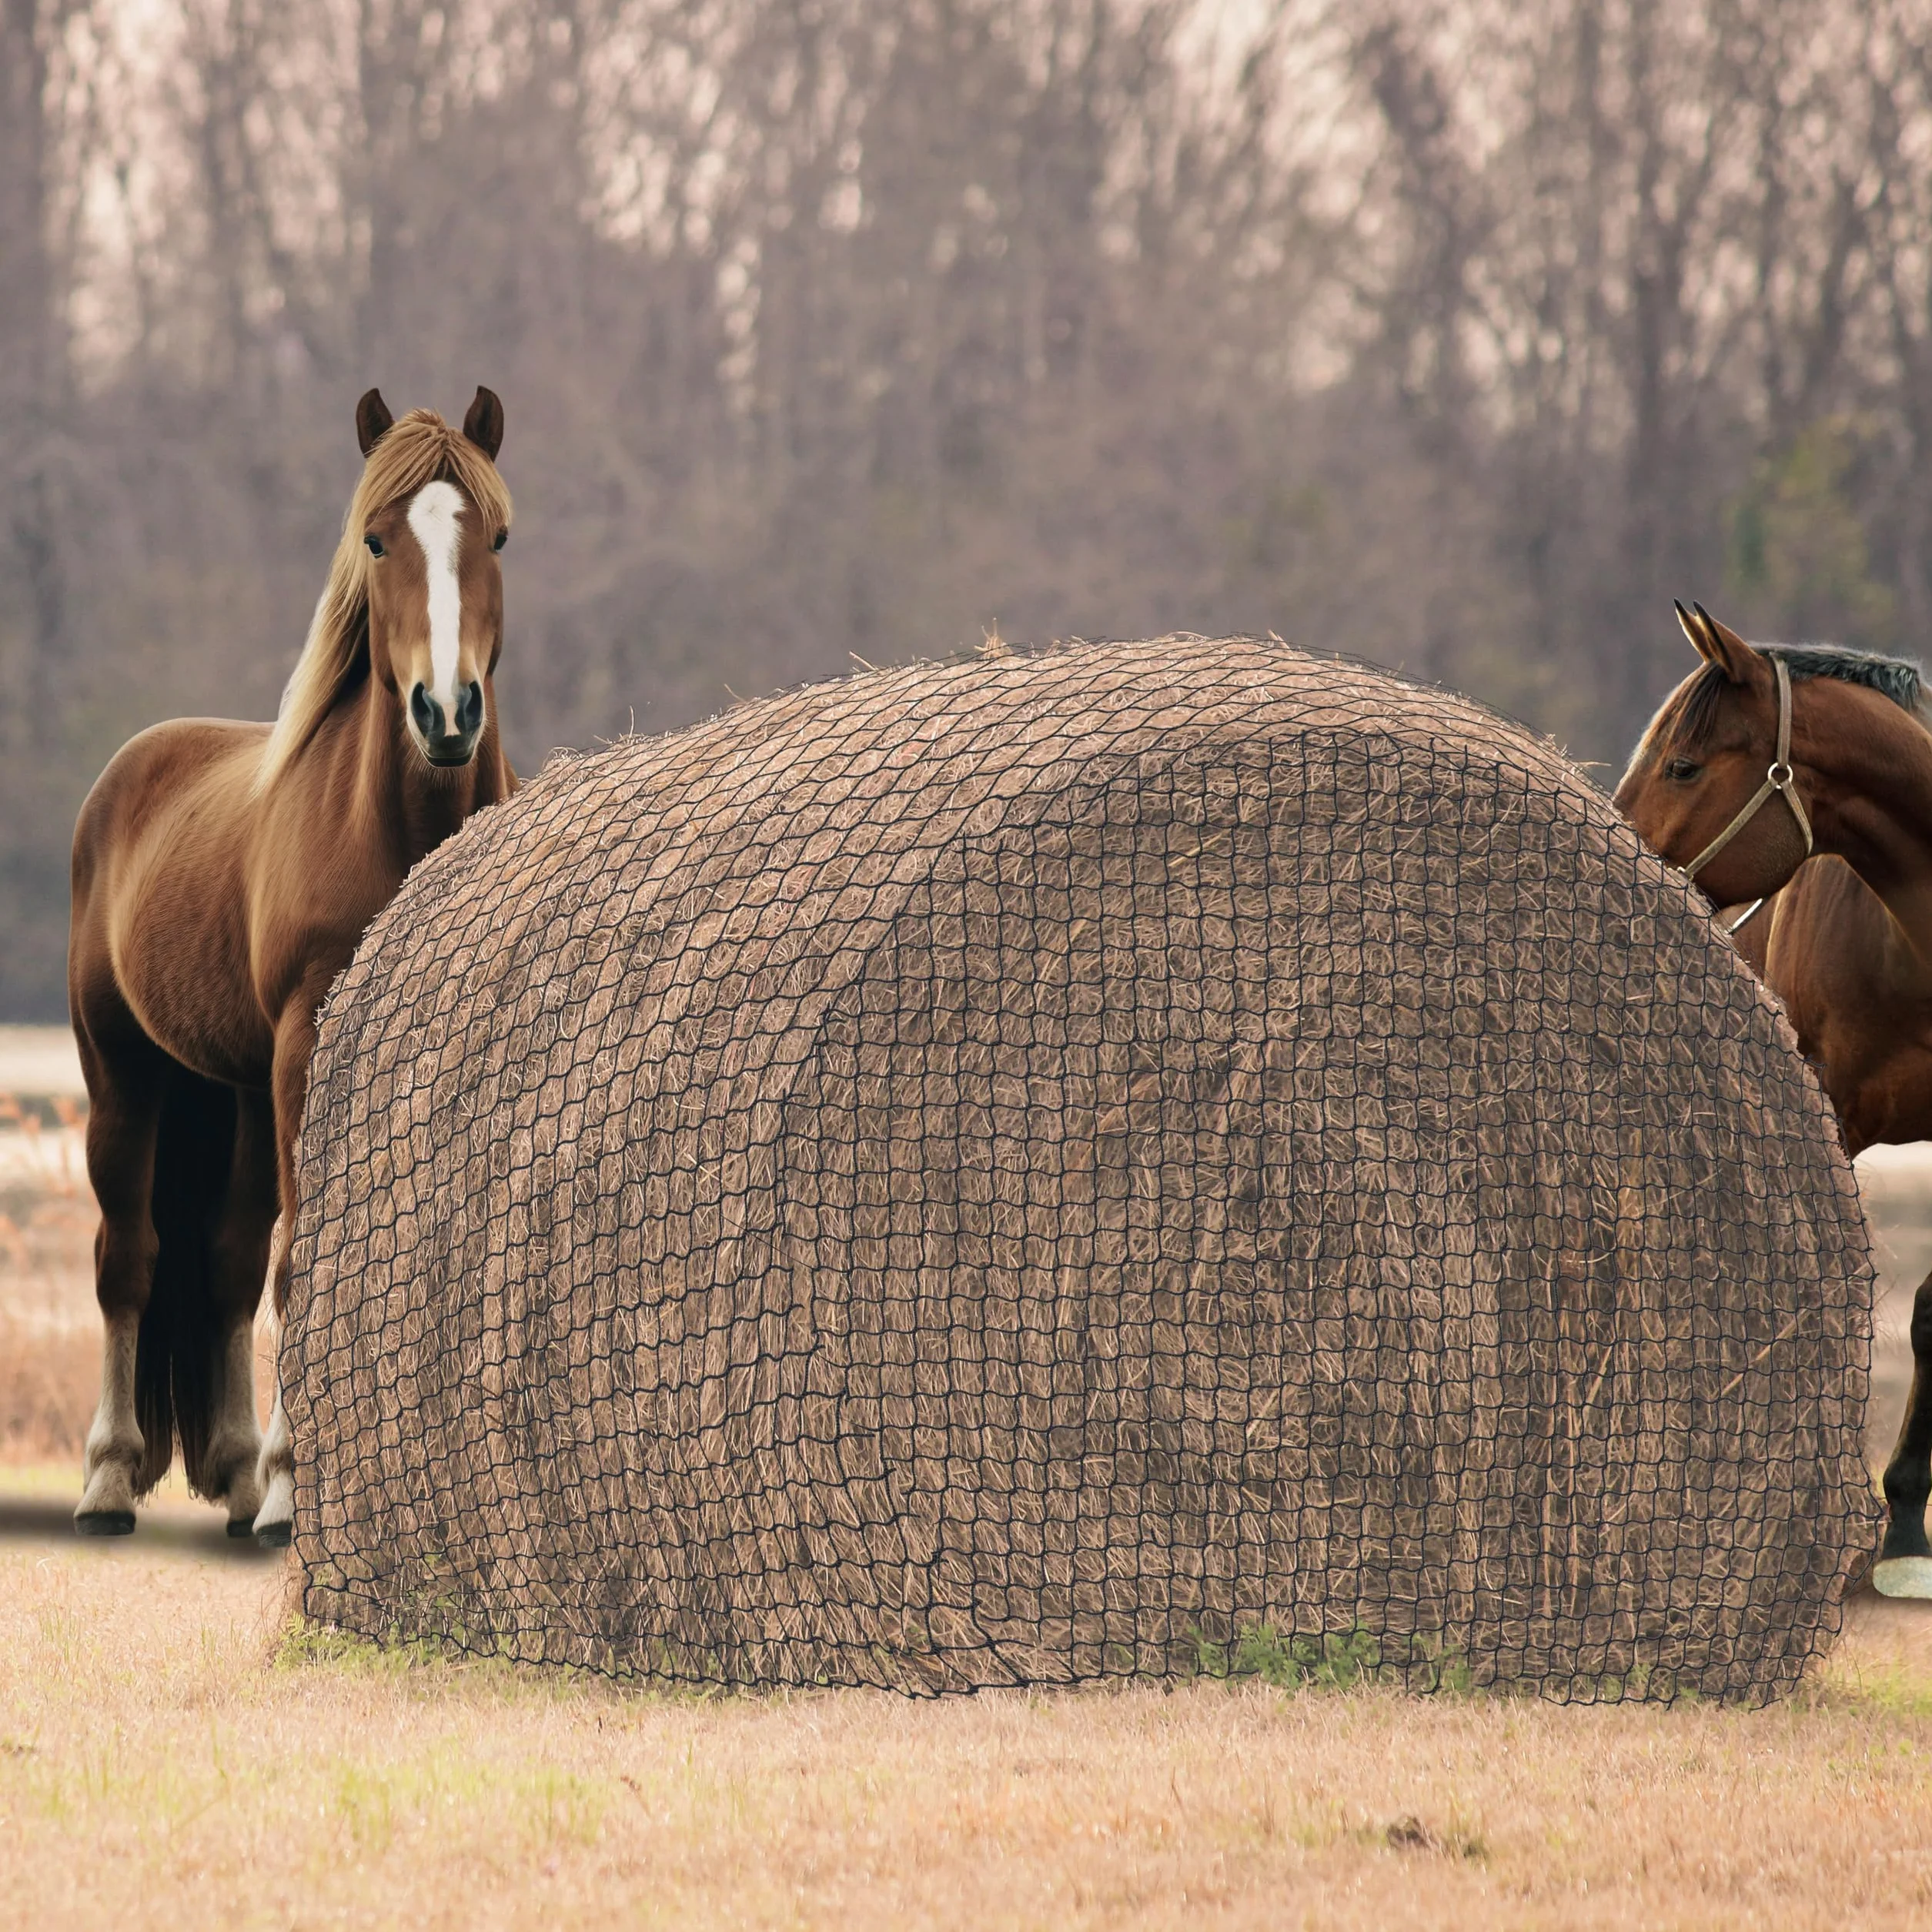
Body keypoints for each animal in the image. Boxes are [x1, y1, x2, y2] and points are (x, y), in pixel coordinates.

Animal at [68, 386, 516, 1546]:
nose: (446, 714)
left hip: (231, 1091)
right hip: (126, 1077)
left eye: (497, 538)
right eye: (375, 539)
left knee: (222, 1261)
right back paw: (114, 1477)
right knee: (128, 1257)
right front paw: (289, 1487)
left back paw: (229, 1470)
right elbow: (303, 1252)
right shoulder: (304, 1047)